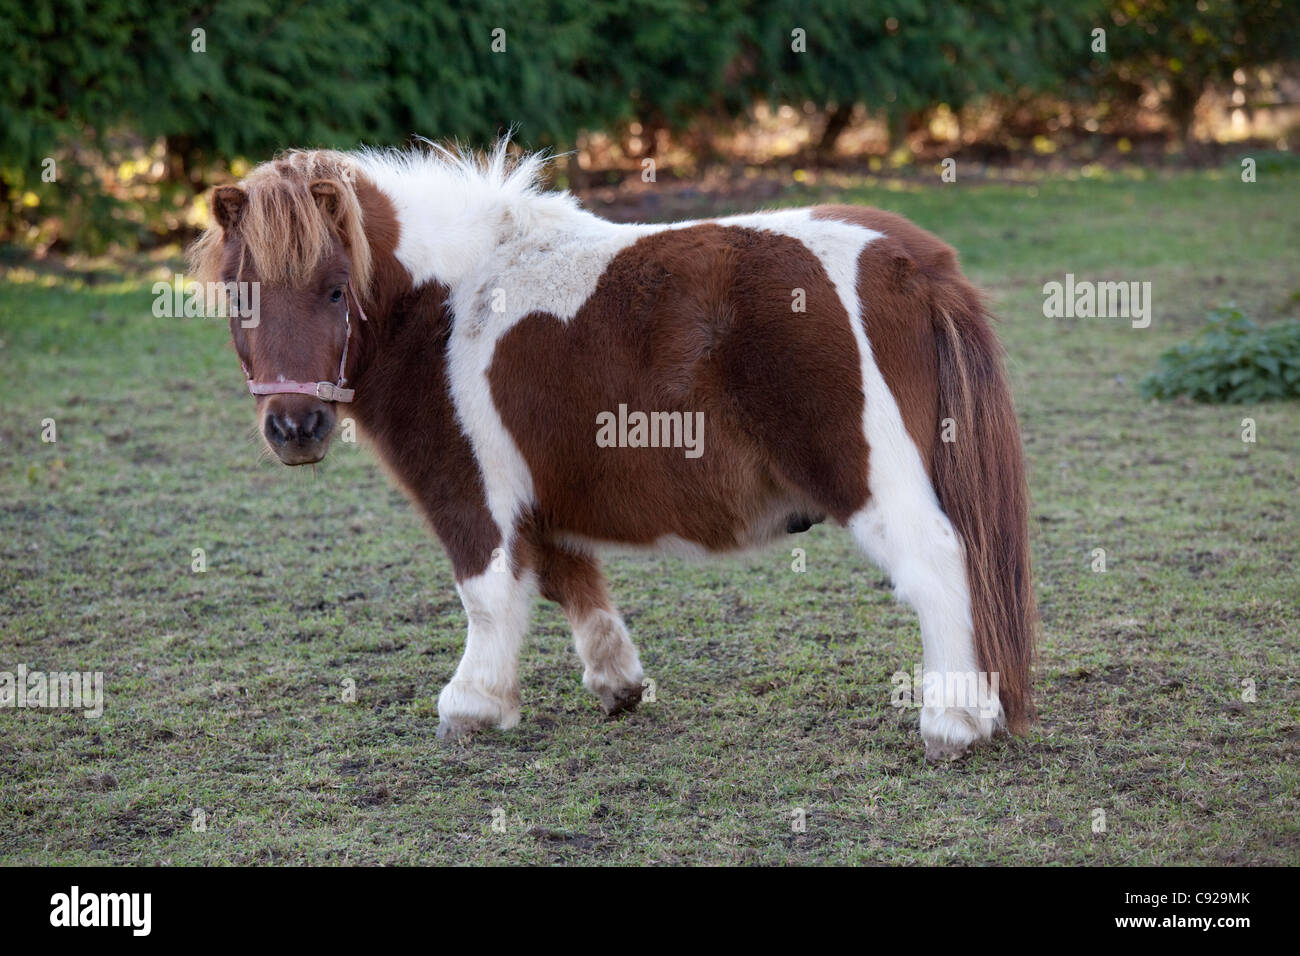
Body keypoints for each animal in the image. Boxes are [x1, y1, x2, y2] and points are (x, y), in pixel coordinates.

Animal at [189, 143, 1034, 764]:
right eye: (239, 294)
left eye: (335, 290)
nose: (295, 427)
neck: (443, 305)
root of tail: (907, 261)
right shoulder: (542, 498)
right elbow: (570, 582)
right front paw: (617, 684)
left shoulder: (469, 493)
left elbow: (487, 593)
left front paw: (472, 705)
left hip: (872, 482)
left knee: (939, 564)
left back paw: (952, 723)